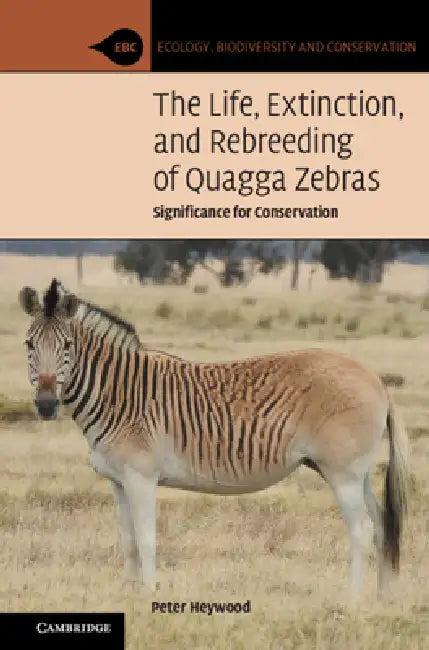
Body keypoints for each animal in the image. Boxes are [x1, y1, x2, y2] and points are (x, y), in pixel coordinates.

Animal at [19, 278, 409, 597]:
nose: (46, 405)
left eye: (68, 346)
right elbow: (128, 541)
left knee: (360, 530)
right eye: (28, 345)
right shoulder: (118, 481)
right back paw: (382, 599)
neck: (119, 396)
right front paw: (128, 594)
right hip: (354, 472)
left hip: (343, 472)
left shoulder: (141, 477)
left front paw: (149, 595)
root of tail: (375, 379)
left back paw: (351, 600)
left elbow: (146, 539)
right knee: (381, 524)